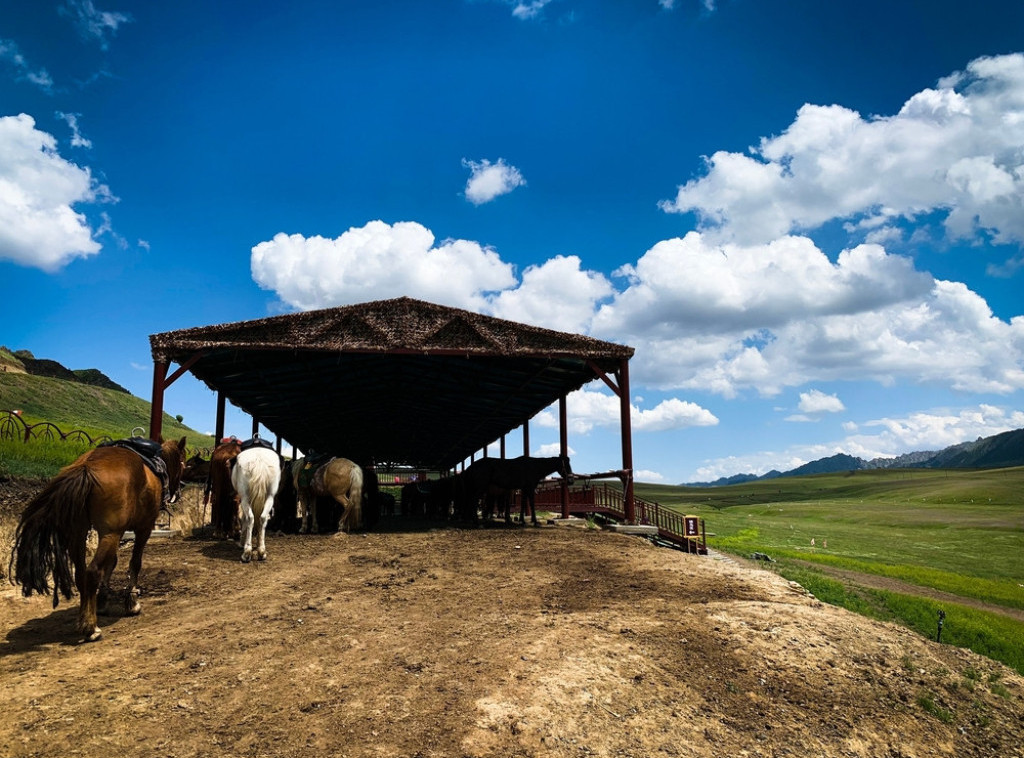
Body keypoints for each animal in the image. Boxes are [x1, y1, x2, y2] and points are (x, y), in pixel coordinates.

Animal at [8, 434, 187, 643]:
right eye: (183, 462)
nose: (180, 488)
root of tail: (87, 467)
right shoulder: (143, 528)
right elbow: (135, 563)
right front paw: (132, 601)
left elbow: (112, 563)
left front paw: (102, 600)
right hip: (110, 533)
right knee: (92, 571)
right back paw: (90, 627)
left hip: (79, 532)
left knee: (80, 574)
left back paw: (85, 617)